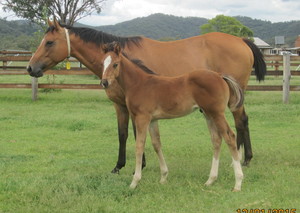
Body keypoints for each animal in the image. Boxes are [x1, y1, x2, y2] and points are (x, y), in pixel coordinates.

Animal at [27, 17, 264, 171]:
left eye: (49, 42)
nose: (30, 68)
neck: (120, 63)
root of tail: (241, 40)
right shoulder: (120, 106)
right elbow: (122, 134)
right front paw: (119, 166)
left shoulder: (136, 108)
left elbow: (135, 134)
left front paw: (139, 165)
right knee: (242, 122)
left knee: (240, 121)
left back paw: (243, 159)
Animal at [99, 42, 245, 191]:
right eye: (102, 63)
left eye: (115, 64)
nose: (104, 82)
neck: (138, 84)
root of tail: (220, 76)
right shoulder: (153, 120)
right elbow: (156, 144)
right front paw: (163, 177)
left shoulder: (142, 118)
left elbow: (139, 145)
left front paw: (135, 181)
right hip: (208, 114)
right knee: (216, 140)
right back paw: (210, 180)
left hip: (217, 113)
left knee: (229, 137)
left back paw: (238, 183)